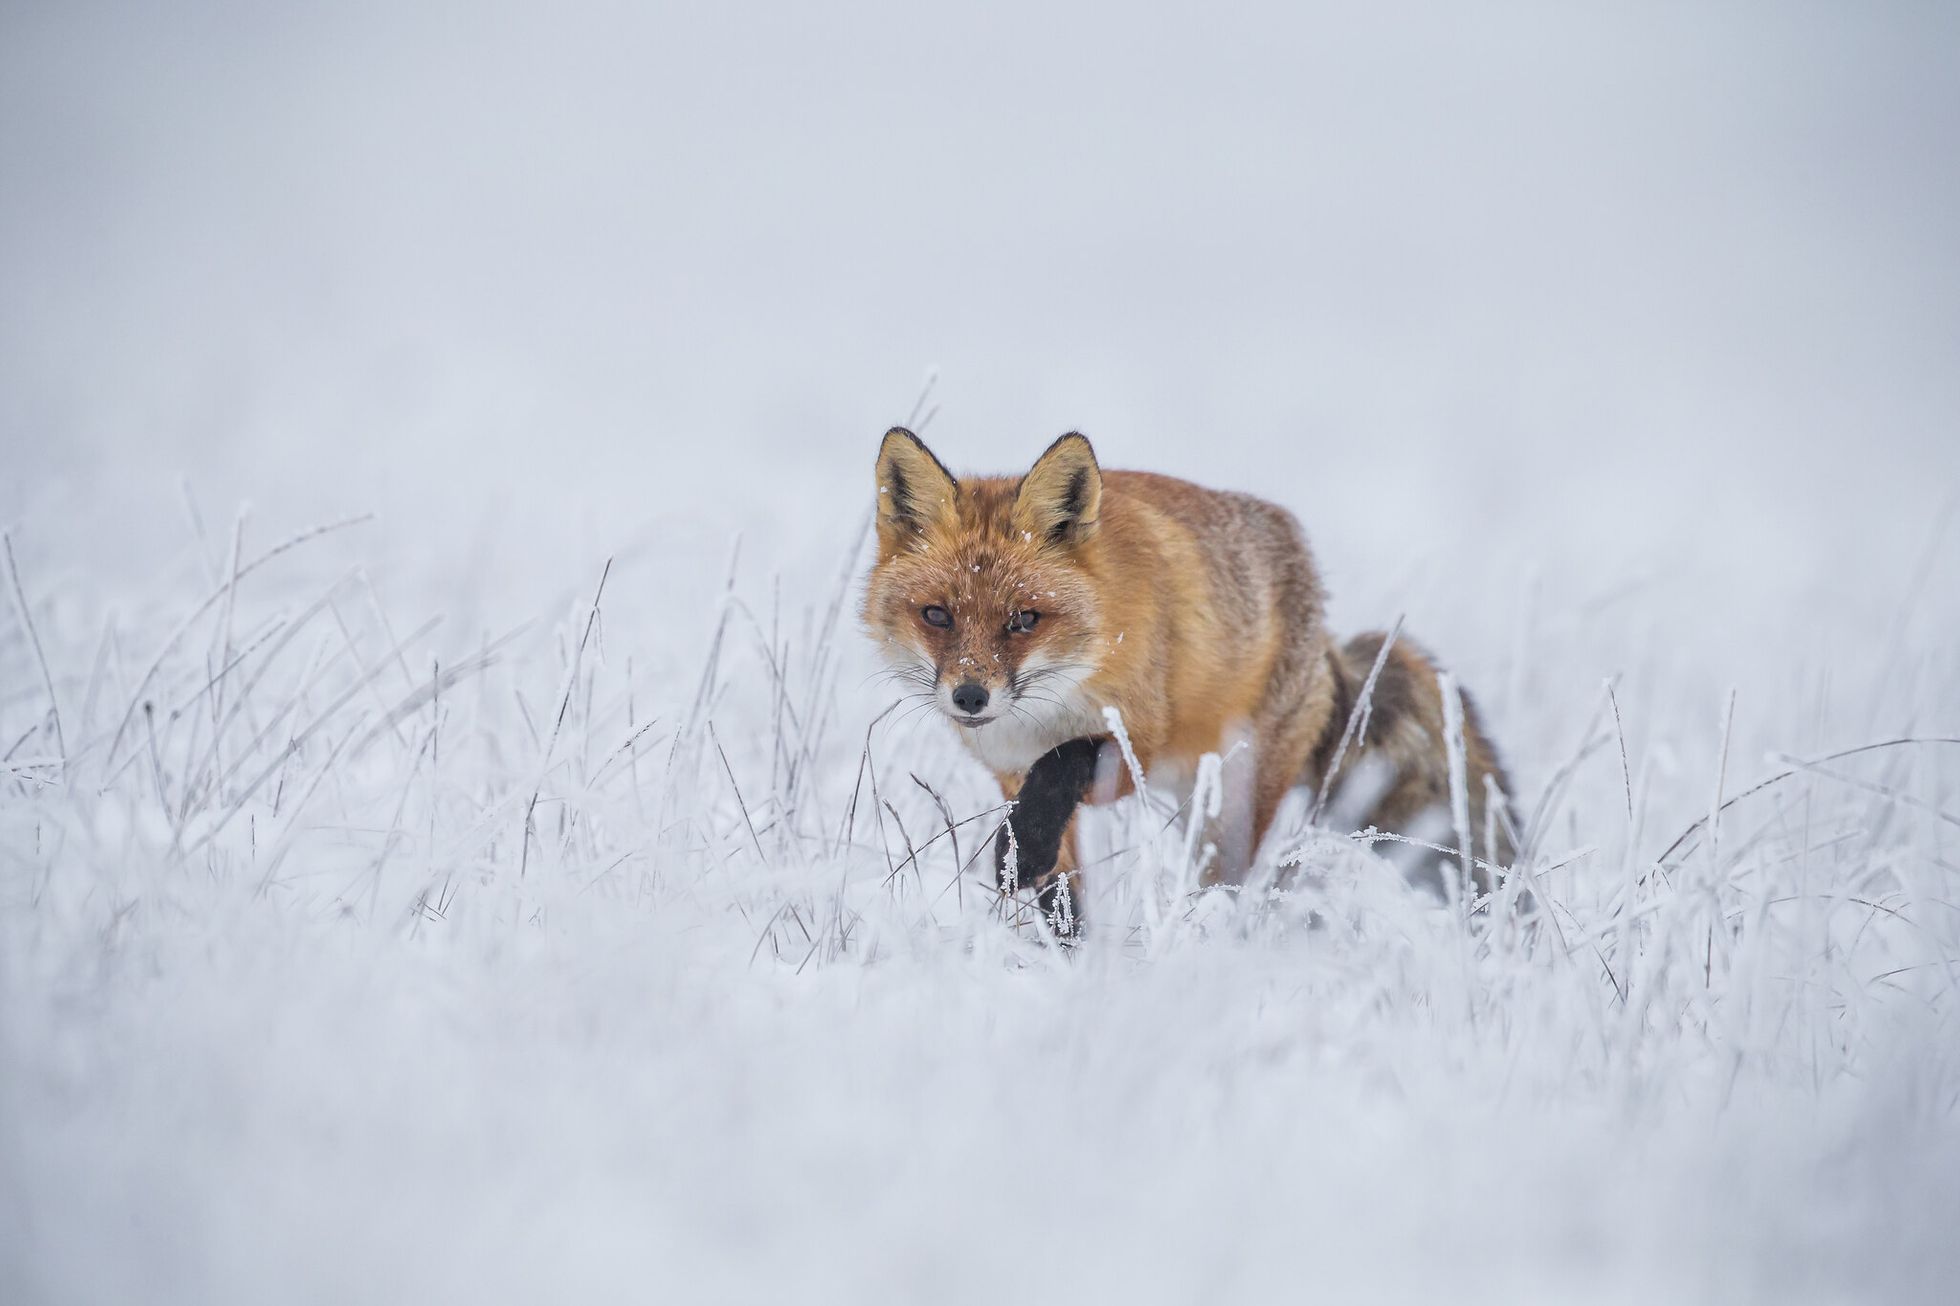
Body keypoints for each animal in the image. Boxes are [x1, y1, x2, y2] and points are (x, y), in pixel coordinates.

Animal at [858, 427, 1513, 925]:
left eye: (1023, 620)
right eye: (937, 615)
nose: (970, 697)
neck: (1048, 706)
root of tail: (1325, 633)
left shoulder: (1134, 744)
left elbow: (1063, 764)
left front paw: (1022, 854)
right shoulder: (1009, 769)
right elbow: (1057, 887)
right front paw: (1064, 953)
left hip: (1235, 805)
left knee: (1238, 885)